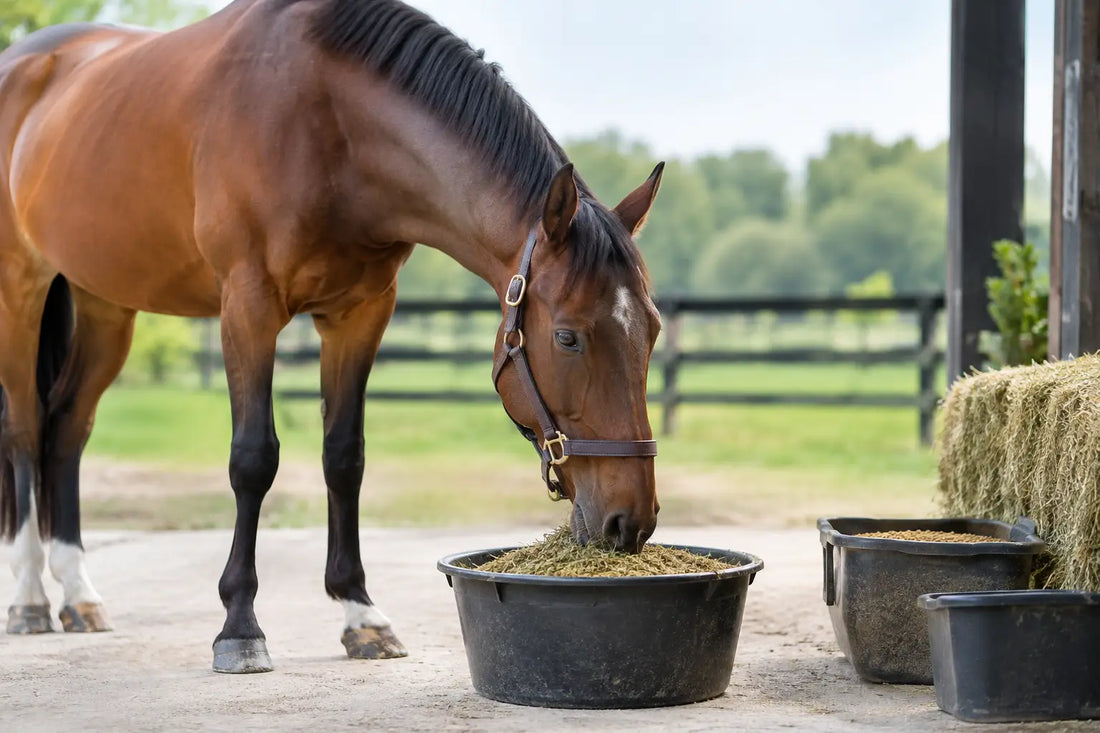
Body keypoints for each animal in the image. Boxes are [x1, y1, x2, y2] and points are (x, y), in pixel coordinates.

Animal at [0, 0, 664, 673]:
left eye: (653, 330)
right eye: (568, 338)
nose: (630, 523)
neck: (327, 124)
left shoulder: (358, 314)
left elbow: (345, 458)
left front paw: (360, 615)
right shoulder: (248, 307)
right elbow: (253, 459)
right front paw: (240, 626)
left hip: (104, 303)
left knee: (67, 429)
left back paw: (79, 595)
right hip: (20, 291)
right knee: (26, 429)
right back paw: (30, 598)